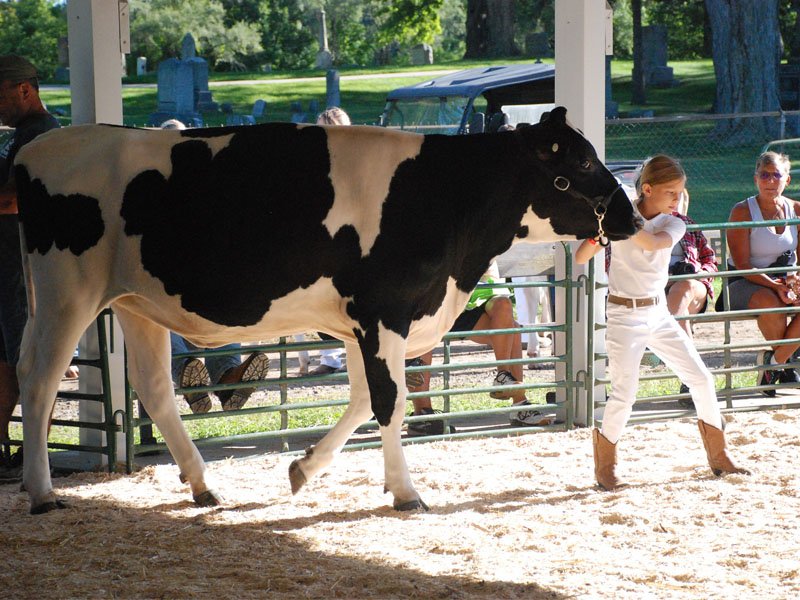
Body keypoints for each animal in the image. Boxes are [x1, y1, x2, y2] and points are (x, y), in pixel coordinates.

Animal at [14, 105, 636, 512]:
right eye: (582, 163)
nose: (629, 215)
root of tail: (34, 150)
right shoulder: (383, 310)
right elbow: (391, 400)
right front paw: (406, 492)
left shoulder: (363, 321)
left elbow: (364, 399)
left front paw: (302, 469)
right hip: (67, 294)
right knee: (40, 379)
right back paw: (42, 492)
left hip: (135, 302)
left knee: (151, 386)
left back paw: (203, 486)